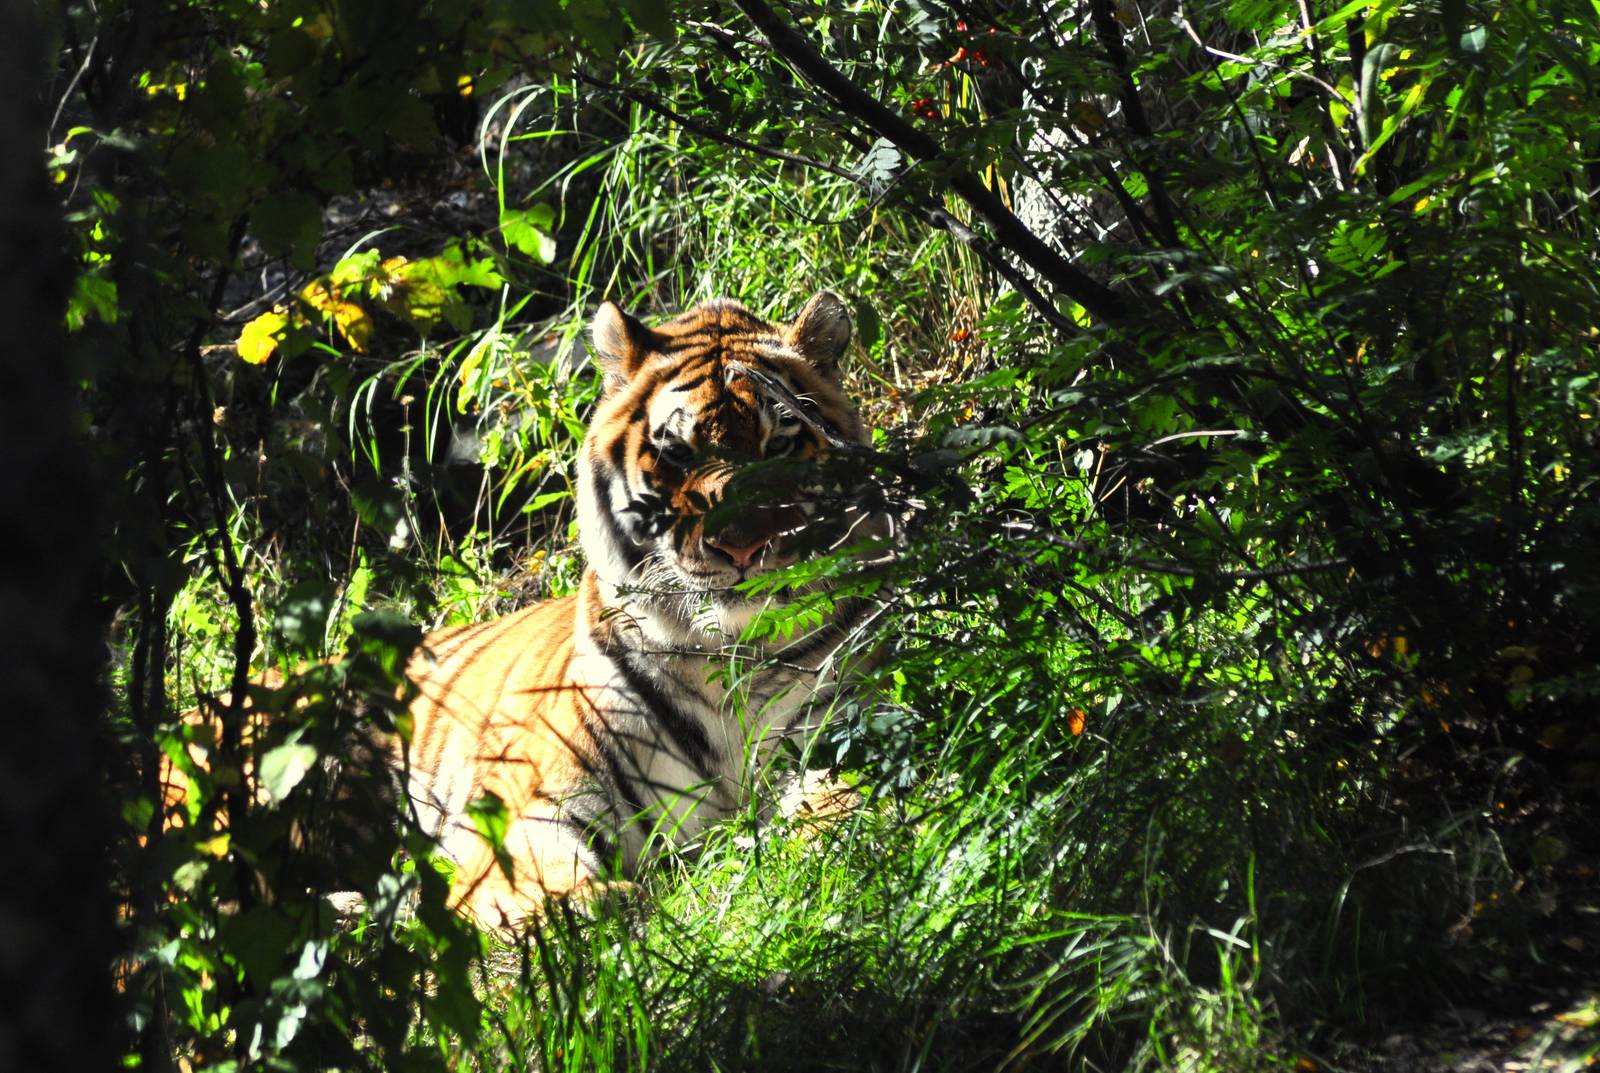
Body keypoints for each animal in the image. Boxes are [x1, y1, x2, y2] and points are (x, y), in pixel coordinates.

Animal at [390, 291, 883, 927]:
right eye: (676, 452)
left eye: (779, 443)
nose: (742, 546)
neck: (725, 655)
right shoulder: (539, 798)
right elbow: (535, 879)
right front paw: (586, 905)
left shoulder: (844, 723)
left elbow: (839, 794)